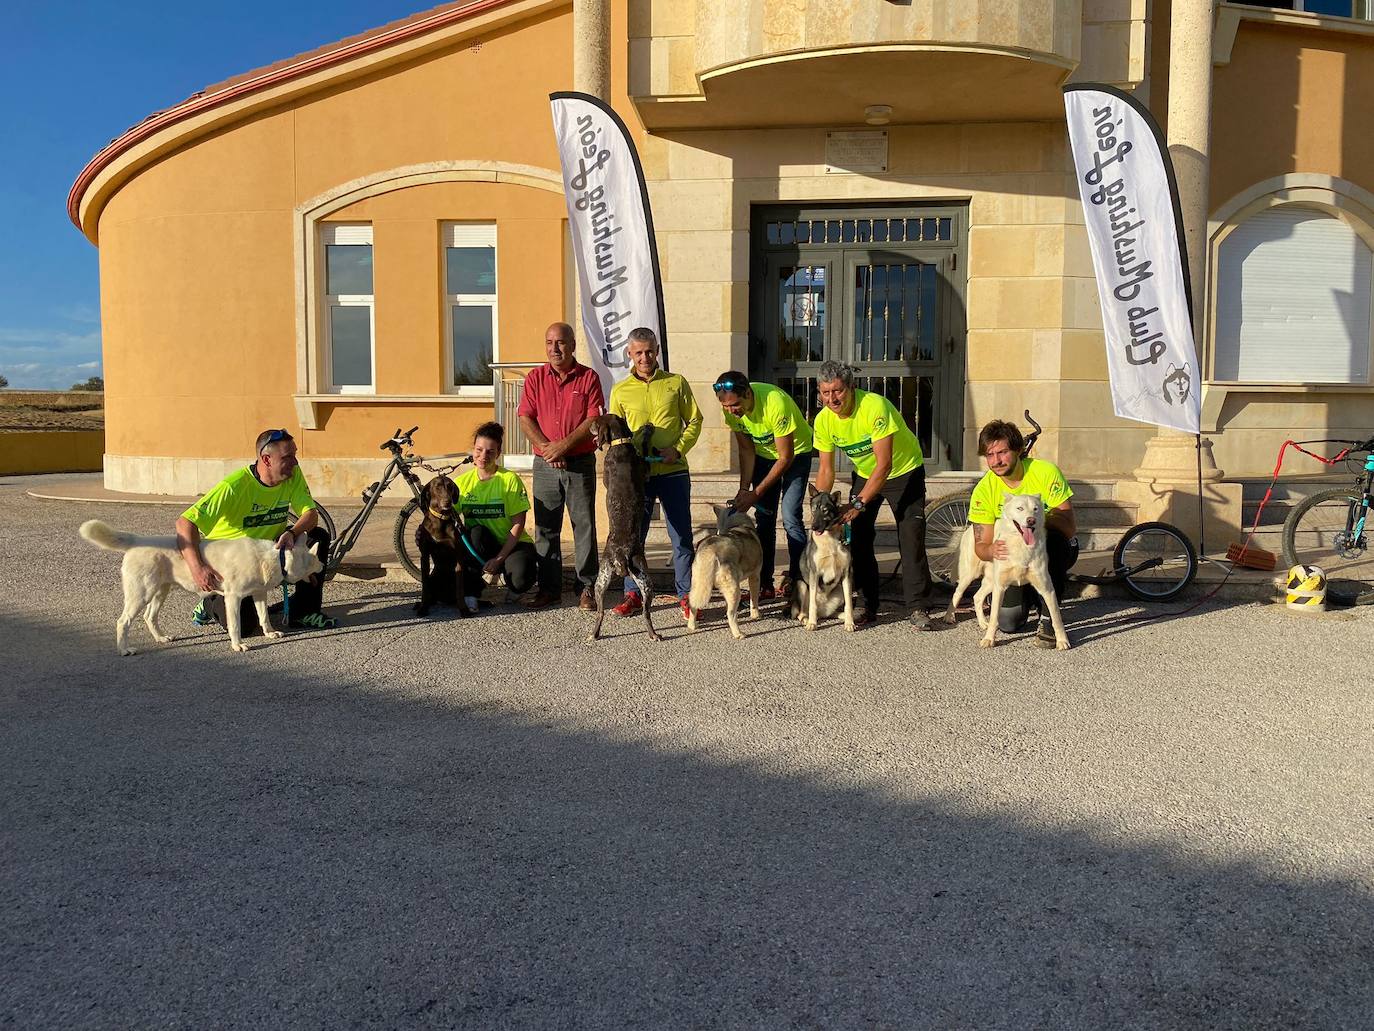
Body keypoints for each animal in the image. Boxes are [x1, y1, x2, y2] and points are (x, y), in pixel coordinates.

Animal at [79, 519, 324, 657]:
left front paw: (270, 633)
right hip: (141, 594)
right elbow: (236, 626)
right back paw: (124, 650)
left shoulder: (259, 594)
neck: (276, 558)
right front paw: (237, 646)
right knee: (123, 622)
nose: (323, 565)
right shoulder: (233, 598)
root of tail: (138, 541)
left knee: (149, 617)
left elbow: (264, 617)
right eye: (314, 559)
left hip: (160, 592)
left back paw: (161, 639)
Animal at [409, 475, 469, 621]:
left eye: (450, 486)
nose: (448, 502)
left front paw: (464, 609)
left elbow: (460, 589)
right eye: (437, 487)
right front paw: (423, 608)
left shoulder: (459, 557)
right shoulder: (424, 556)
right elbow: (424, 588)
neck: (440, 519)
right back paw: (420, 604)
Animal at [585, 415, 659, 643]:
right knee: (644, 612)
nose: (588, 426)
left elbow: (645, 448)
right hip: (639, 580)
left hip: (607, 580)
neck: (621, 444)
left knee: (604, 612)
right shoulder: (646, 471)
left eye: (596, 422)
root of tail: (621, 556)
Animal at [945, 494, 1071, 654]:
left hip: (991, 581)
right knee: (957, 594)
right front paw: (989, 639)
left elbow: (1056, 618)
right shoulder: (1000, 588)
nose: (1031, 520)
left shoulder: (1047, 589)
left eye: (1036, 509)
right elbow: (994, 617)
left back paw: (982, 622)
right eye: (1020, 508)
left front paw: (1062, 641)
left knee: (977, 597)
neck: (1021, 545)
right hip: (970, 575)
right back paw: (949, 616)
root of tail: (969, 529)